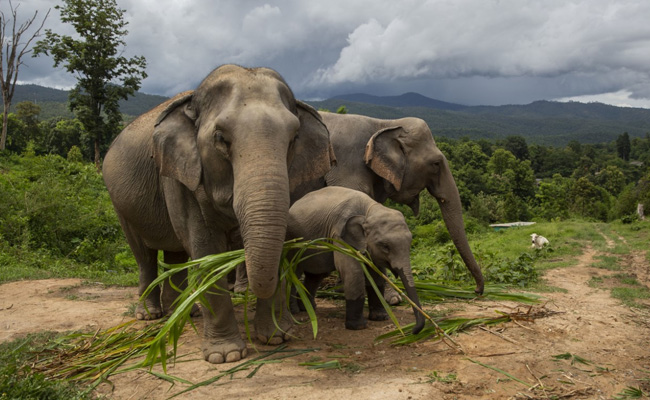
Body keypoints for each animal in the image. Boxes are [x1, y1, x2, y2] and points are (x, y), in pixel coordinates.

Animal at [102, 64, 335, 364]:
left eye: (294, 138)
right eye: (221, 139)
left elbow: (281, 242)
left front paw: (276, 337)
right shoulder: (181, 176)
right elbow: (207, 251)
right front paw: (225, 355)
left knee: (176, 255)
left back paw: (185, 313)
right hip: (119, 203)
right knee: (144, 255)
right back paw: (150, 315)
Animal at [287, 186, 425, 334]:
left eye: (410, 243)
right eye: (385, 246)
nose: (412, 330)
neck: (369, 210)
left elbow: (376, 275)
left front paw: (380, 318)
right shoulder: (339, 235)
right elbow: (353, 272)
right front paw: (358, 326)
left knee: (316, 275)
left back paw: (309, 307)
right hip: (293, 244)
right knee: (294, 272)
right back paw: (295, 311)